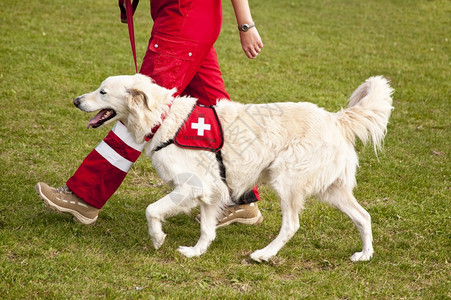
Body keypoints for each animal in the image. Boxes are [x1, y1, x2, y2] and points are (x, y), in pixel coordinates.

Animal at [73, 74, 392, 262]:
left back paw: (264, 254)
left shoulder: (191, 186)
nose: (76, 100)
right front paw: (196, 252)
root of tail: (335, 119)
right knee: (364, 217)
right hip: (332, 191)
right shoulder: (211, 192)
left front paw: (158, 238)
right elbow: (206, 229)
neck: (164, 119)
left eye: (102, 92)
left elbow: (152, 210)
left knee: (291, 225)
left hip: (287, 182)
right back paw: (365, 255)